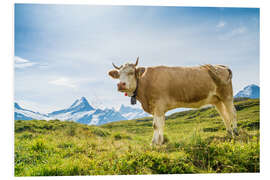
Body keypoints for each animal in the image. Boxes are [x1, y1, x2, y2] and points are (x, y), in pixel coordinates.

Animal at [107, 57, 238, 146]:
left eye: (130, 73)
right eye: (118, 74)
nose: (120, 84)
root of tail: (222, 66)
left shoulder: (159, 105)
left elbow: (156, 125)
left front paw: (155, 143)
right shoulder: (157, 108)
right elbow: (159, 124)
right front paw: (158, 141)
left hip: (227, 96)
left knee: (232, 113)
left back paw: (235, 133)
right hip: (217, 100)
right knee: (224, 116)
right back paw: (229, 133)